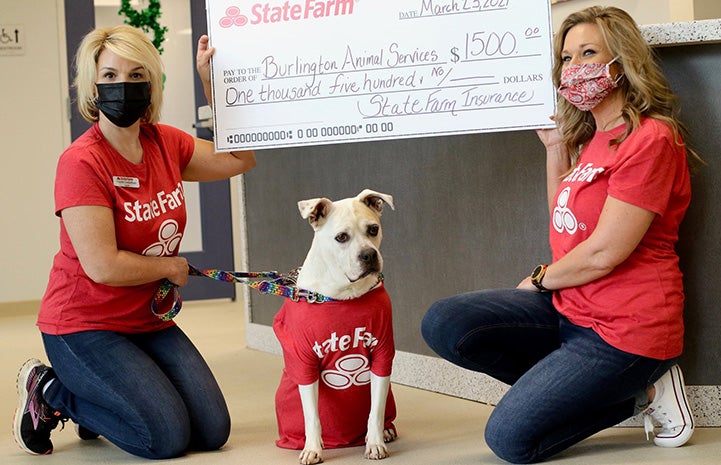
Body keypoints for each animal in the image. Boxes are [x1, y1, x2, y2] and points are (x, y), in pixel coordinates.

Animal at [272, 189, 396, 464]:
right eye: (341, 237)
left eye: (373, 229)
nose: (369, 255)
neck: (343, 293)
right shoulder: (304, 362)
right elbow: (312, 416)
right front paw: (312, 448)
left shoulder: (382, 354)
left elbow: (375, 410)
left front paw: (375, 442)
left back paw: (387, 430)